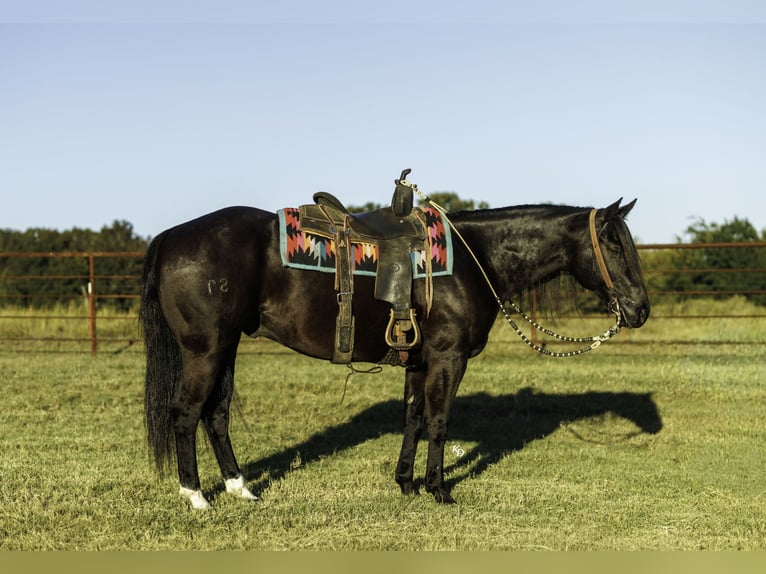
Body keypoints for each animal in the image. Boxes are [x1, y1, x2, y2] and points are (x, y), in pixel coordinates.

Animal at [140, 196, 649, 509]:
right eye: (613, 244)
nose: (640, 309)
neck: (475, 257)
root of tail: (170, 237)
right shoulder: (448, 357)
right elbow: (439, 421)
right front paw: (439, 490)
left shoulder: (418, 361)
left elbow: (413, 418)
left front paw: (406, 483)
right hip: (205, 350)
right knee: (186, 413)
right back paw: (196, 496)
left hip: (226, 348)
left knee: (216, 414)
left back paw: (240, 489)